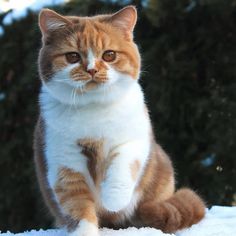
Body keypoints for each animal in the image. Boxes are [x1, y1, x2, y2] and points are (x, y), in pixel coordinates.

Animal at [34, 5, 206, 236]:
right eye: (72, 56)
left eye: (109, 55)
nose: (92, 69)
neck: (93, 110)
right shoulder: (64, 161)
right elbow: (77, 206)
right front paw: (85, 230)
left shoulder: (135, 139)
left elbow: (124, 164)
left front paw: (113, 199)